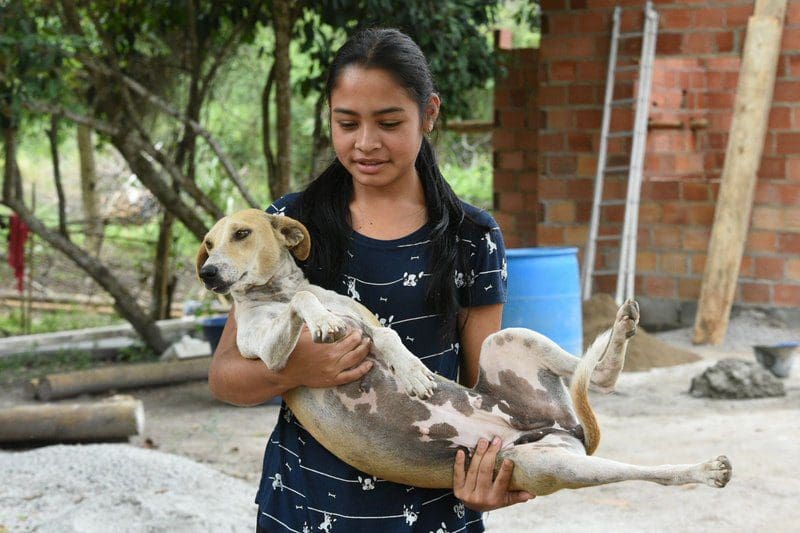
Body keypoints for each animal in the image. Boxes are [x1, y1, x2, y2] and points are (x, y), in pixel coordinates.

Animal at [195, 208, 732, 494]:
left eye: (241, 233)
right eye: (207, 242)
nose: (207, 273)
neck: (276, 290)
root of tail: (561, 428)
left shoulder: (364, 321)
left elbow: (383, 334)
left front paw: (411, 371)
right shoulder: (272, 356)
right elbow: (304, 307)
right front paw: (322, 320)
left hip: (509, 341)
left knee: (599, 382)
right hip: (551, 463)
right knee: (628, 440)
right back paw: (703, 469)